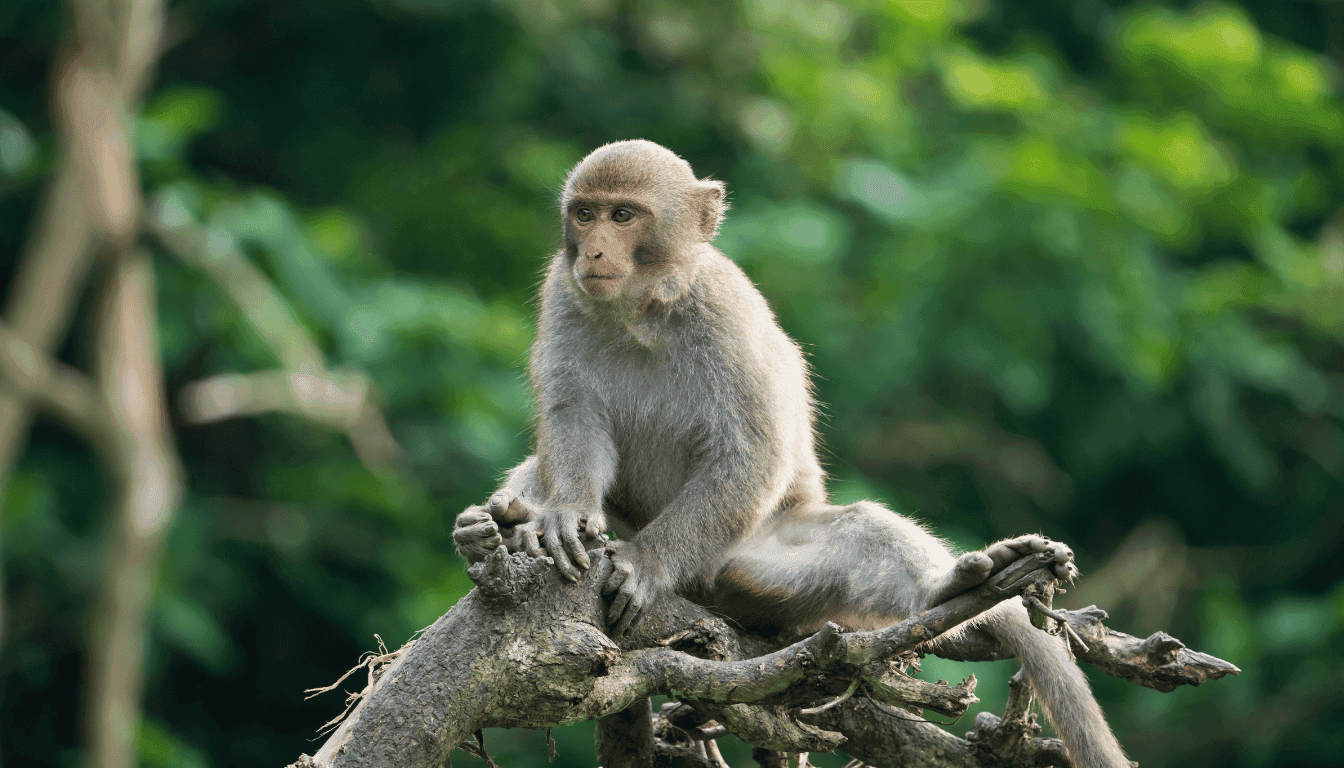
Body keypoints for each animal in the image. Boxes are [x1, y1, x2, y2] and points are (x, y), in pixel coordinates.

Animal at [453, 140, 1130, 768]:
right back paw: (502, 525)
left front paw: (646, 563)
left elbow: (753, 452)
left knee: (859, 533)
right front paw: (560, 518)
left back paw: (947, 589)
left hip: (756, 565)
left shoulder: (724, 311)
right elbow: (573, 419)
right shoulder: (562, 295)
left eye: (623, 216)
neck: (643, 311)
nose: (592, 251)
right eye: (585, 214)